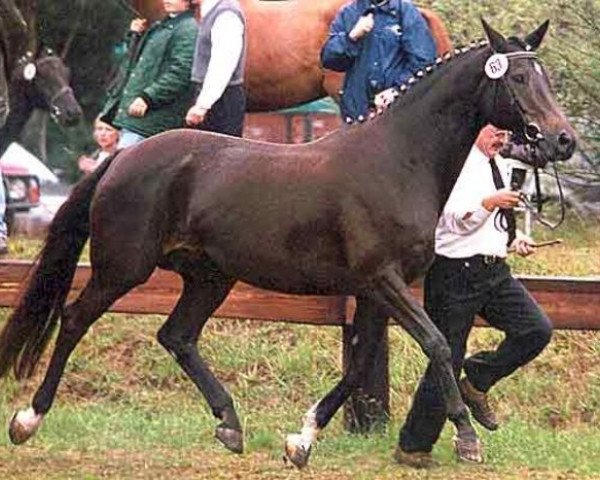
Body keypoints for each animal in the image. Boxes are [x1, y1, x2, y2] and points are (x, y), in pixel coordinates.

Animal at [0, 20, 576, 466]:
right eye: (519, 77)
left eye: (545, 76)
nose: (563, 139)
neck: (397, 161)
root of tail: (122, 157)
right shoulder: (382, 280)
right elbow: (436, 343)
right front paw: (468, 436)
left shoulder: (374, 292)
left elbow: (360, 366)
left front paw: (301, 441)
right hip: (123, 267)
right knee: (75, 319)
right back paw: (28, 418)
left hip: (210, 276)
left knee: (177, 336)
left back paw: (229, 424)